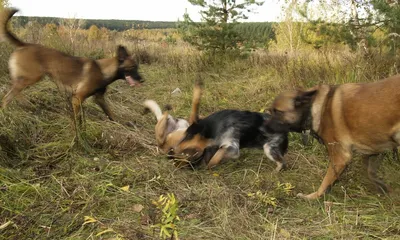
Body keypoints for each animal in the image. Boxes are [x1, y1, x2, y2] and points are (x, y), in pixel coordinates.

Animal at [268, 74, 400, 200]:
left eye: (278, 112)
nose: (265, 125)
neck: (312, 107)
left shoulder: (340, 157)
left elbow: (325, 182)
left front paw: (313, 197)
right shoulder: (374, 149)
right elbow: (371, 172)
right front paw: (386, 190)